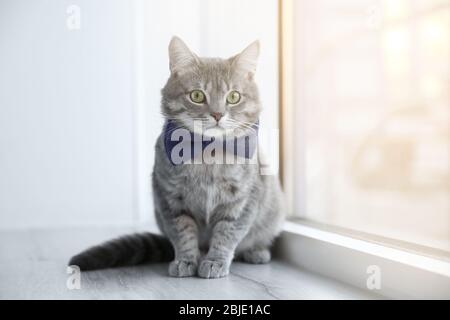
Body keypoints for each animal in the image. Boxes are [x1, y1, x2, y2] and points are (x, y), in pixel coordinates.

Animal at [68, 37, 284, 278]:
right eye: (197, 95)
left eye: (234, 97)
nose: (217, 114)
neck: (208, 154)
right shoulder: (170, 199)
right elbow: (183, 234)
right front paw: (186, 260)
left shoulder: (243, 200)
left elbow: (227, 233)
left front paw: (215, 261)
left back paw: (256, 252)